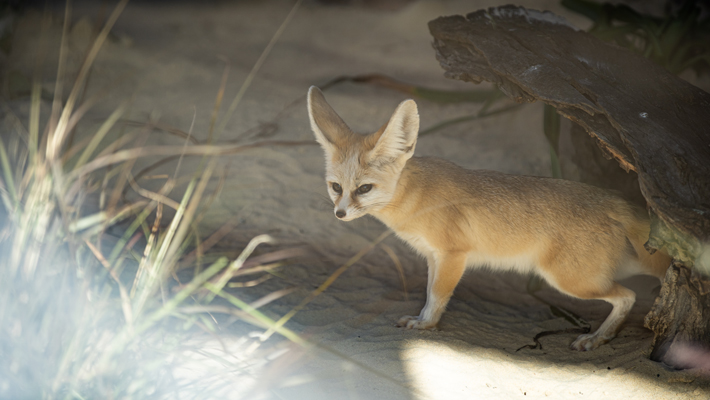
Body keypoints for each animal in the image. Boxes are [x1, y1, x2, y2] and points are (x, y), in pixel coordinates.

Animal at [308, 85, 672, 350]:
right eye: (336, 187)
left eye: (364, 188)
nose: (340, 213)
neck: (416, 197)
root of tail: (614, 199)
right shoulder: (433, 257)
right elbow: (428, 293)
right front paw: (421, 319)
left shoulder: (454, 255)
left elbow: (437, 297)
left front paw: (426, 325)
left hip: (571, 281)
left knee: (628, 296)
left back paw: (597, 337)